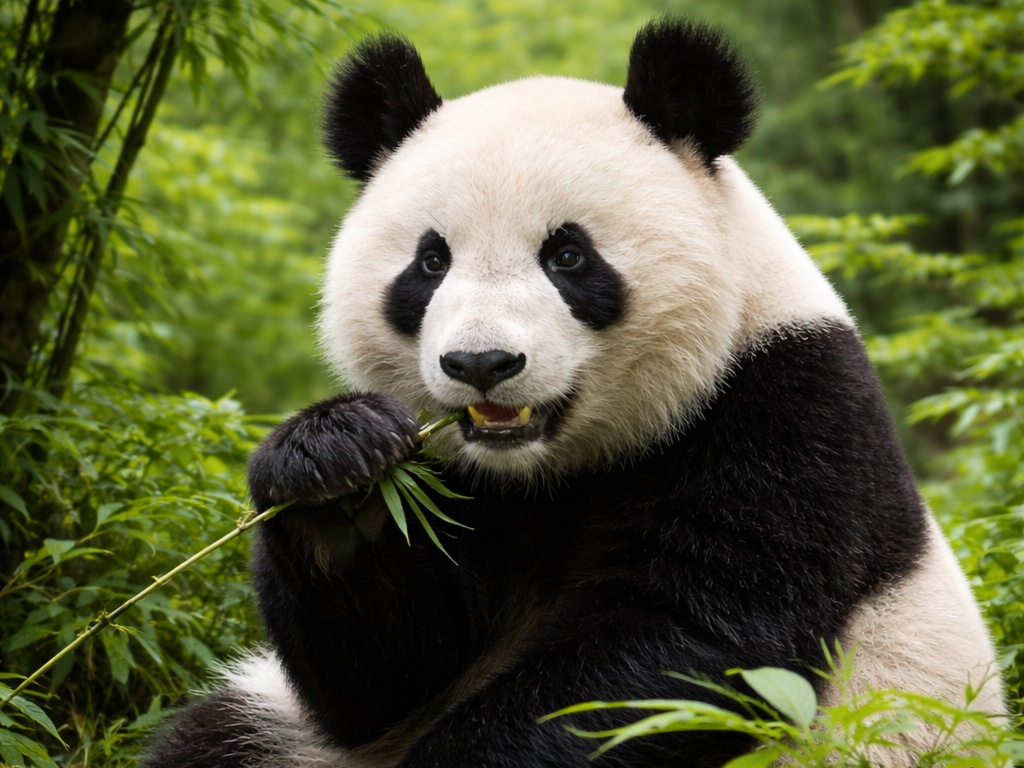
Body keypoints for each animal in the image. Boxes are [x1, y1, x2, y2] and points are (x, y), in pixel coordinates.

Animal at [143, 17, 1004, 768]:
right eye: (431, 262)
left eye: (567, 255)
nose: (482, 363)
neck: (548, 470)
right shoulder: (459, 487)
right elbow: (379, 677)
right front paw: (336, 470)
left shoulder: (784, 410)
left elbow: (687, 647)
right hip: (277, 729)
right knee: (221, 734)